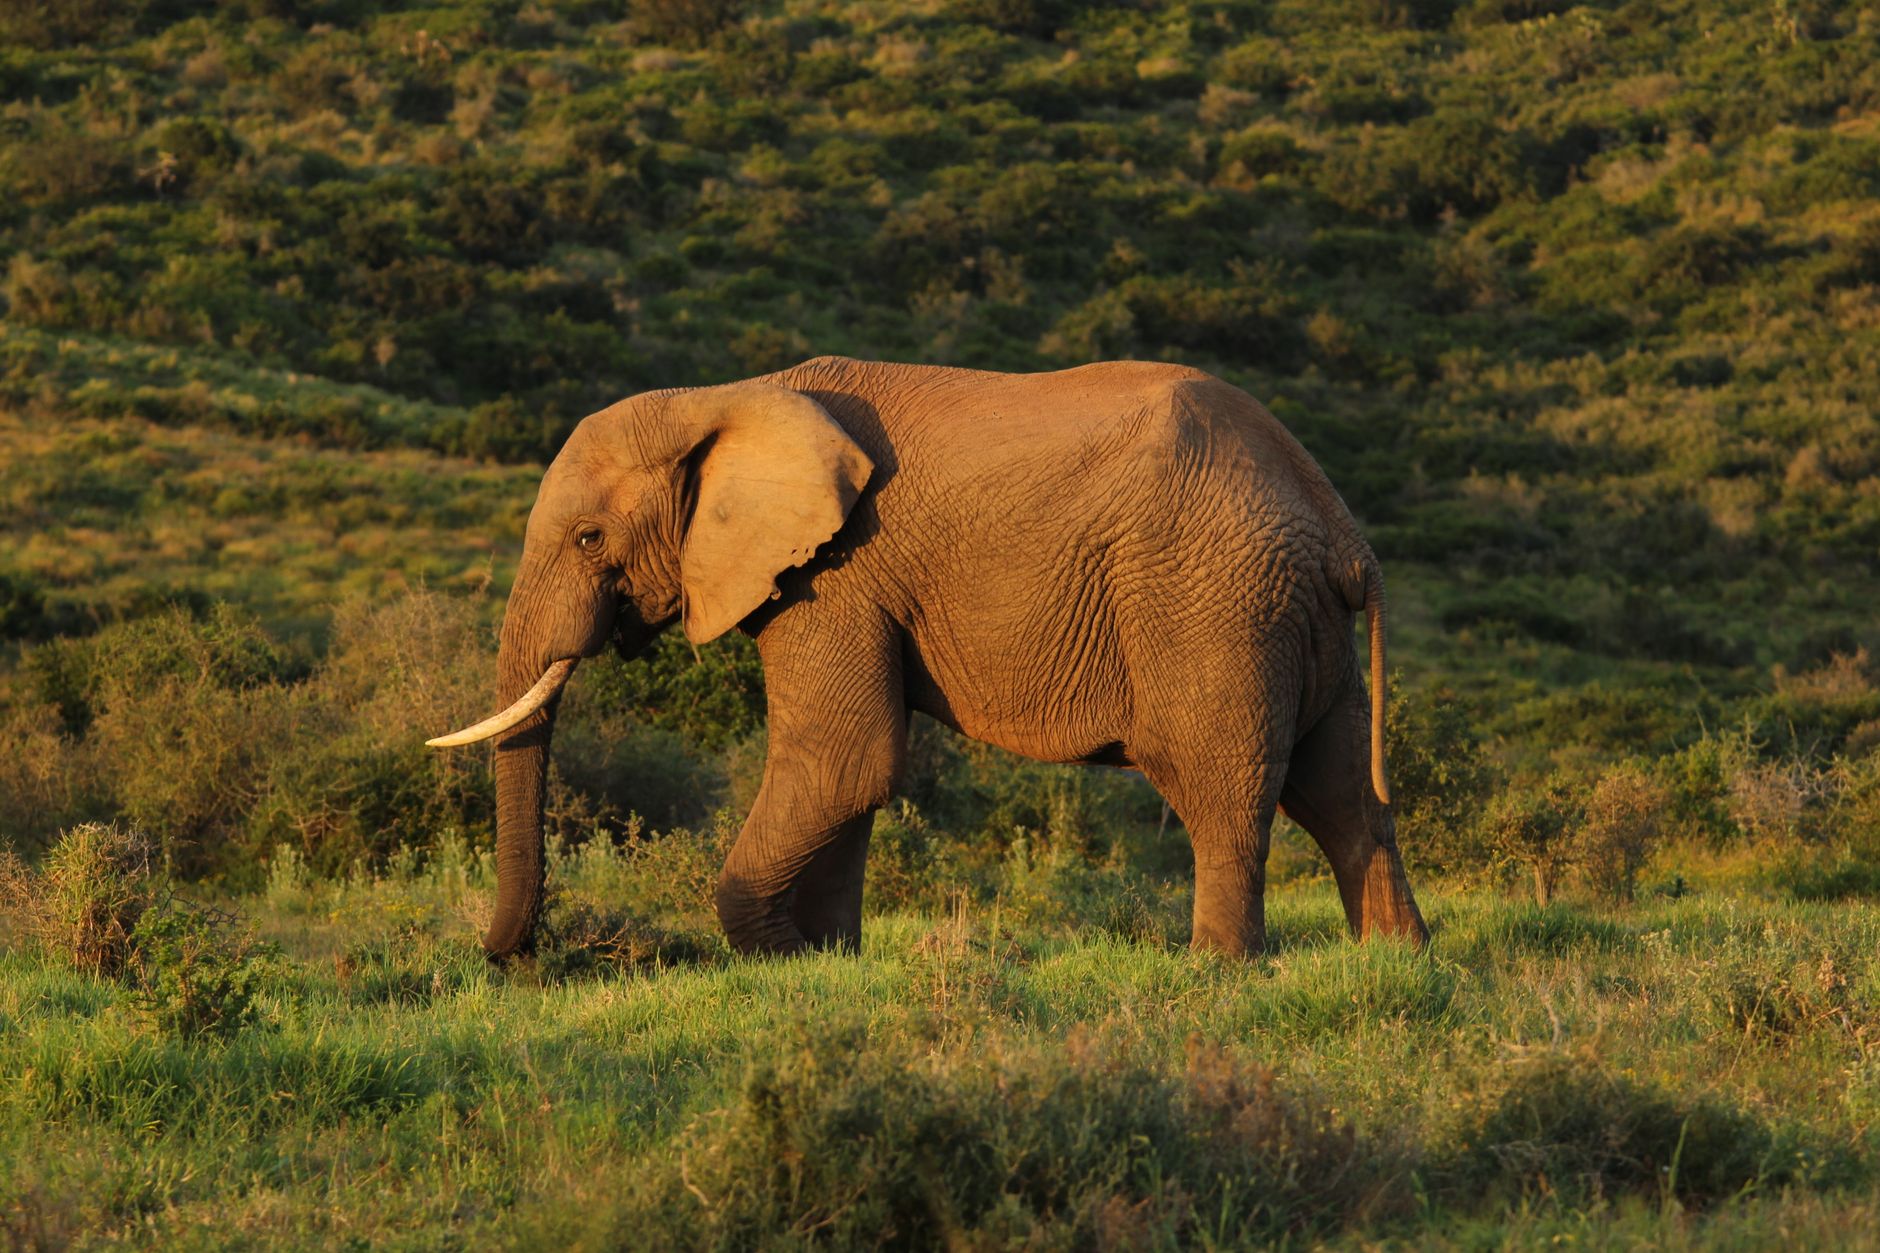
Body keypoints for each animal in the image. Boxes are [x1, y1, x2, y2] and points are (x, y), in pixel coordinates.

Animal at [429, 356, 1429, 959]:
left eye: (590, 538)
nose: (503, 956)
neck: (726, 396)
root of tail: (1342, 529)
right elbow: (853, 778)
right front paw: (830, 960)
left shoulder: (835, 574)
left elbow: (845, 758)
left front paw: (776, 958)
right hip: (1293, 618)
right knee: (1342, 793)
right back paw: (1395, 959)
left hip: (1214, 604)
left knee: (1222, 790)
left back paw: (1217, 969)